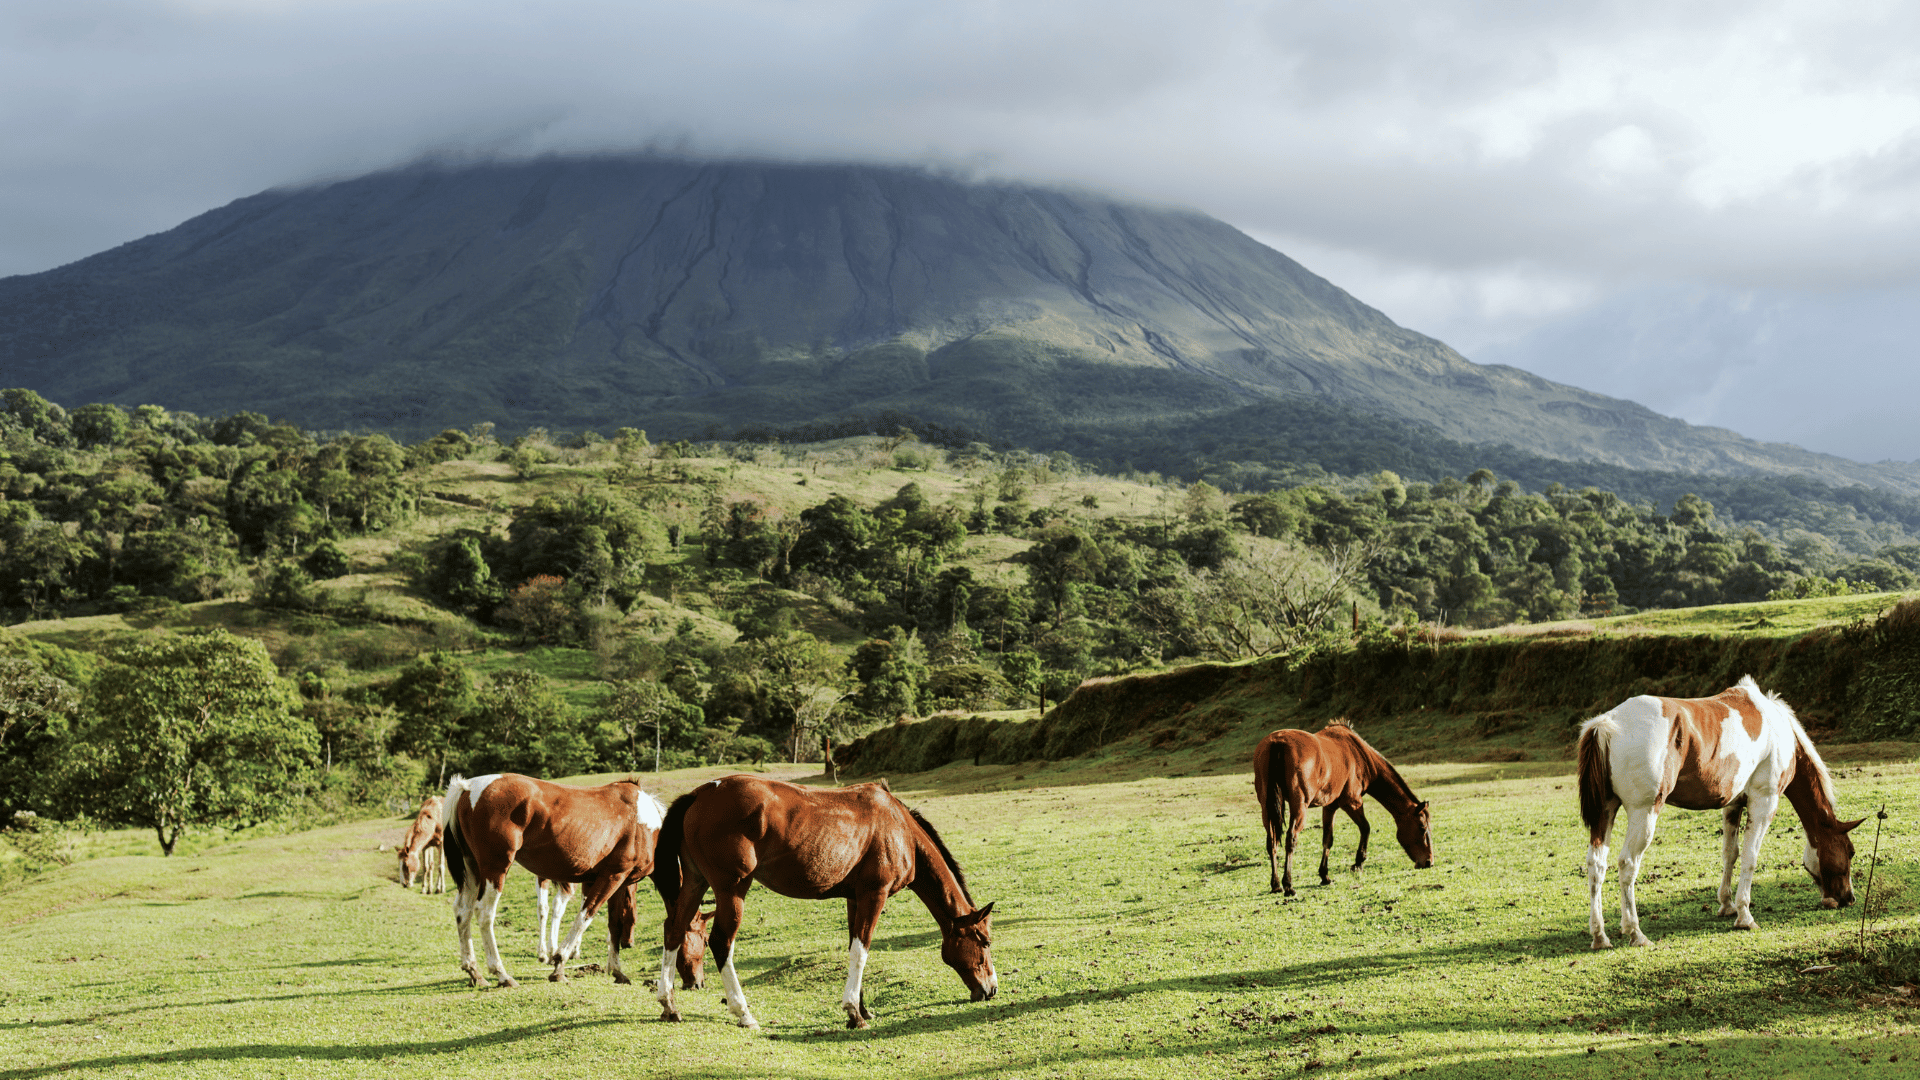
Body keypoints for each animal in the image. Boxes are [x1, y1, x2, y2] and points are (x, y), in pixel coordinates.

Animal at [441, 768, 706, 991]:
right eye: (703, 939)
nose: (698, 983)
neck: (645, 824)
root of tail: (466, 787)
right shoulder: (612, 876)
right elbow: (585, 916)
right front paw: (559, 964)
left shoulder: (621, 882)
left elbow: (614, 925)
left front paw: (617, 971)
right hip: (495, 870)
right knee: (484, 914)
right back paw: (501, 974)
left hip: (473, 871)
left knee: (462, 912)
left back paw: (474, 972)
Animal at [652, 772, 998, 1022]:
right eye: (984, 941)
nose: (991, 989)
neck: (901, 829)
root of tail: (702, 793)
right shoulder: (875, 895)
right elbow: (862, 950)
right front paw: (853, 1012)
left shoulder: (855, 899)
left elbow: (854, 948)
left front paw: (862, 1009)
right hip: (732, 890)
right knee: (721, 942)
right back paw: (743, 1013)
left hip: (695, 883)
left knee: (675, 930)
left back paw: (669, 1005)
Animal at [1251, 718, 1436, 895]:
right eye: (1422, 828)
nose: (1429, 862)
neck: (1359, 754)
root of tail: (1277, 741)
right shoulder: (1352, 802)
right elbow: (1365, 828)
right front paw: (1358, 864)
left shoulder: (1329, 807)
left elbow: (1327, 839)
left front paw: (1324, 875)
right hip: (1299, 807)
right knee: (1291, 839)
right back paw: (1288, 885)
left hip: (1266, 808)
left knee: (1272, 842)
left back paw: (1276, 885)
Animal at [1574, 676, 1858, 945]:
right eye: (1850, 851)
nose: (1848, 898)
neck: (1778, 727)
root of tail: (1607, 723)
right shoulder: (1764, 801)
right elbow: (1750, 857)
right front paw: (1744, 915)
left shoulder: (1733, 804)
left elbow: (1730, 854)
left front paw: (1727, 905)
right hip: (1643, 813)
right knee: (1627, 865)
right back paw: (1636, 932)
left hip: (1605, 812)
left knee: (1596, 864)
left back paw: (1600, 936)